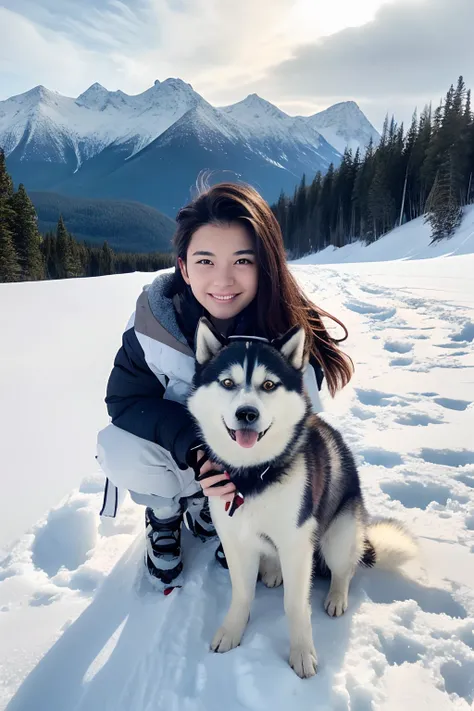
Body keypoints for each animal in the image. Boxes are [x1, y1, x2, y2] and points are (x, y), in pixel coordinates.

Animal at [187, 318, 416, 680]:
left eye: (268, 384)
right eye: (227, 382)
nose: (247, 413)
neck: (253, 475)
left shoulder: (297, 544)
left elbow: (295, 605)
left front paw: (302, 653)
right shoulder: (235, 539)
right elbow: (241, 593)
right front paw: (232, 631)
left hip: (339, 534)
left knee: (345, 568)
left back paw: (336, 596)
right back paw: (272, 570)